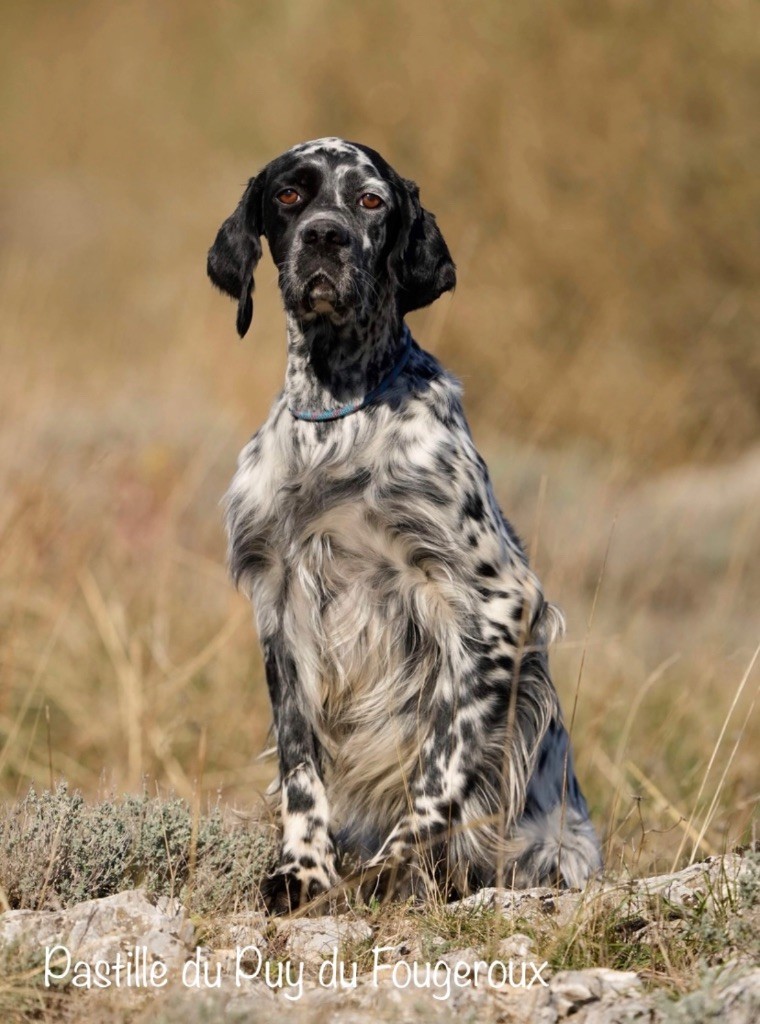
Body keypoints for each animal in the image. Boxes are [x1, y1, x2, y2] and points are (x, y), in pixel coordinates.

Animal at [207, 136, 602, 913]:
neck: (337, 415)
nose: (324, 237)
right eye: (290, 195)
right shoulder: (281, 603)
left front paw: (389, 872)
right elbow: (301, 766)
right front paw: (303, 870)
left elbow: (441, 766)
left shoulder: (495, 601)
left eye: (369, 200)